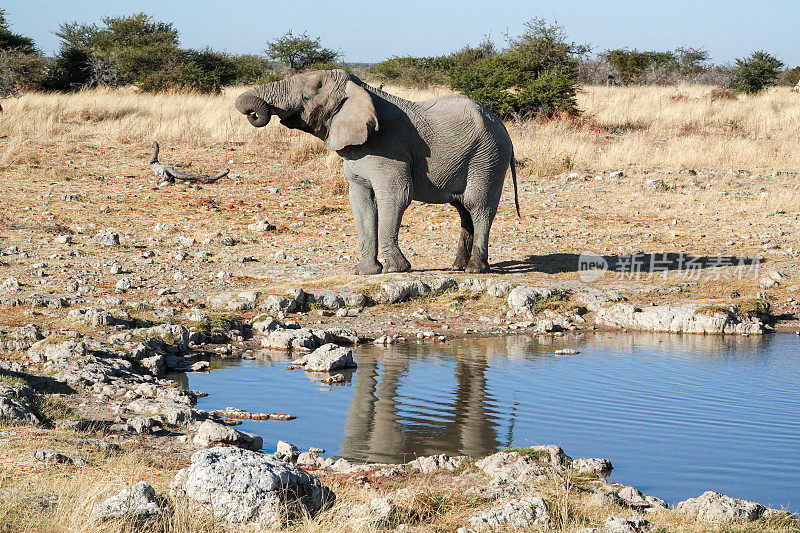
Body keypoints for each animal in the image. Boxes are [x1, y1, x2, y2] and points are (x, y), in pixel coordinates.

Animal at [234, 69, 520, 274]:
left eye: (306, 97)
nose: (254, 112)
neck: (360, 90)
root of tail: (503, 127)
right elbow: (361, 203)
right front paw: (365, 272)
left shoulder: (391, 149)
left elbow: (395, 197)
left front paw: (396, 269)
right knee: (462, 210)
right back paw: (457, 266)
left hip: (488, 157)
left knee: (477, 205)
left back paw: (475, 269)